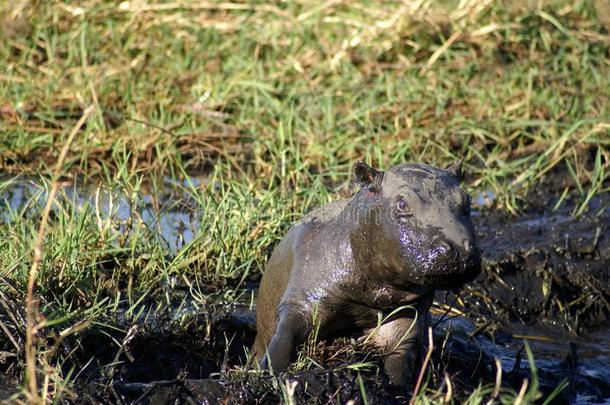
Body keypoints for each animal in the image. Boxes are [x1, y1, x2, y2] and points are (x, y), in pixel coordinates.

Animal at [252, 159, 480, 384]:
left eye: (467, 200)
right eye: (402, 203)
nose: (459, 250)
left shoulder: (407, 314)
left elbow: (399, 360)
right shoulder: (300, 301)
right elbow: (283, 341)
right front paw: (266, 375)